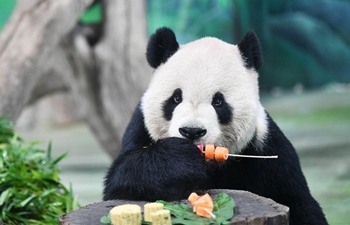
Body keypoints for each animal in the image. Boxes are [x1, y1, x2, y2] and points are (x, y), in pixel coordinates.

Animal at [102, 27, 326, 224]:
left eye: (218, 101)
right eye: (176, 98)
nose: (192, 131)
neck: (211, 166)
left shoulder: (267, 148)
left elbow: (298, 202)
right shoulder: (140, 129)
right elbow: (121, 178)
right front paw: (180, 160)